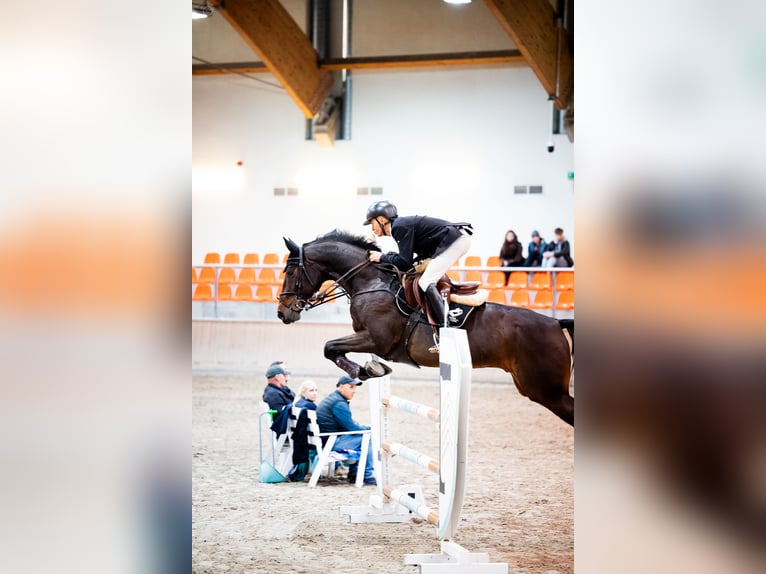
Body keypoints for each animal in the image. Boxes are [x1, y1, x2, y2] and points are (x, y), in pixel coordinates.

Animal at [278, 231, 576, 428]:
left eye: (290, 272)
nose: (282, 312)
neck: (371, 281)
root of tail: (555, 323)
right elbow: (332, 348)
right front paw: (371, 369)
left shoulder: (377, 340)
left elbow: (329, 347)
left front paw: (365, 371)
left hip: (545, 390)